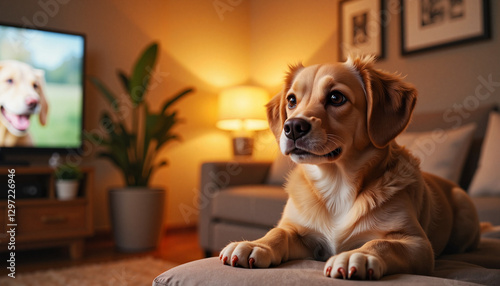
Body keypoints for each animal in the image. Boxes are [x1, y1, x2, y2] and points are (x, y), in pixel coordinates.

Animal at [220, 55, 480, 280]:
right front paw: (256, 244)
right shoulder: (303, 235)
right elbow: (279, 232)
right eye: (291, 100)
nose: (292, 127)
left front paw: (359, 255)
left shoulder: (417, 243)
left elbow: (381, 243)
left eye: (336, 97)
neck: (336, 183)